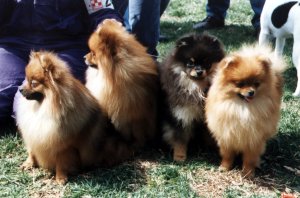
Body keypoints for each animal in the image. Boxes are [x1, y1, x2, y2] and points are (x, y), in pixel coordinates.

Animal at [15, 51, 133, 184]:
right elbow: (32, 151)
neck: (44, 107)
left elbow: (61, 162)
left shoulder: (64, 146)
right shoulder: (33, 134)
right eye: (26, 79)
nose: (20, 89)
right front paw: (28, 163)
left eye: (33, 83)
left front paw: (60, 177)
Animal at [161, 33, 224, 162]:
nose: (199, 71)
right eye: (191, 63)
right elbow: (179, 139)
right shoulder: (180, 115)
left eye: (207, 63)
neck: (197, 87)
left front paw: (215, 150)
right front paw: (179, 157)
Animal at [206, 45, 286, 178]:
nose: (251, 92)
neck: (242, 108)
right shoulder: (226, 135)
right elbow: (227, 155)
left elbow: (250, 159)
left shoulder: (253, 139)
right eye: (240, 84)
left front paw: (248, 173)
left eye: (256, 83)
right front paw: (225, 167)